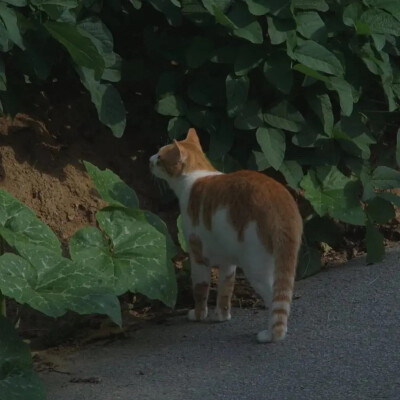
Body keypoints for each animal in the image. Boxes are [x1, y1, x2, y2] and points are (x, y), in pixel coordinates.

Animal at [150, 130, 304, 342]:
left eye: (159, 157)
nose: (150, 160)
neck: (196, 174)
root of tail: (280, 202)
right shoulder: (228, 262)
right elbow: (225, 290)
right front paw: (222, 316)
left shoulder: (197, 256)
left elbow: (200, 290)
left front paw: (198, 315)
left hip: (255, 267)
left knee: (275, 299)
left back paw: (272, 334)